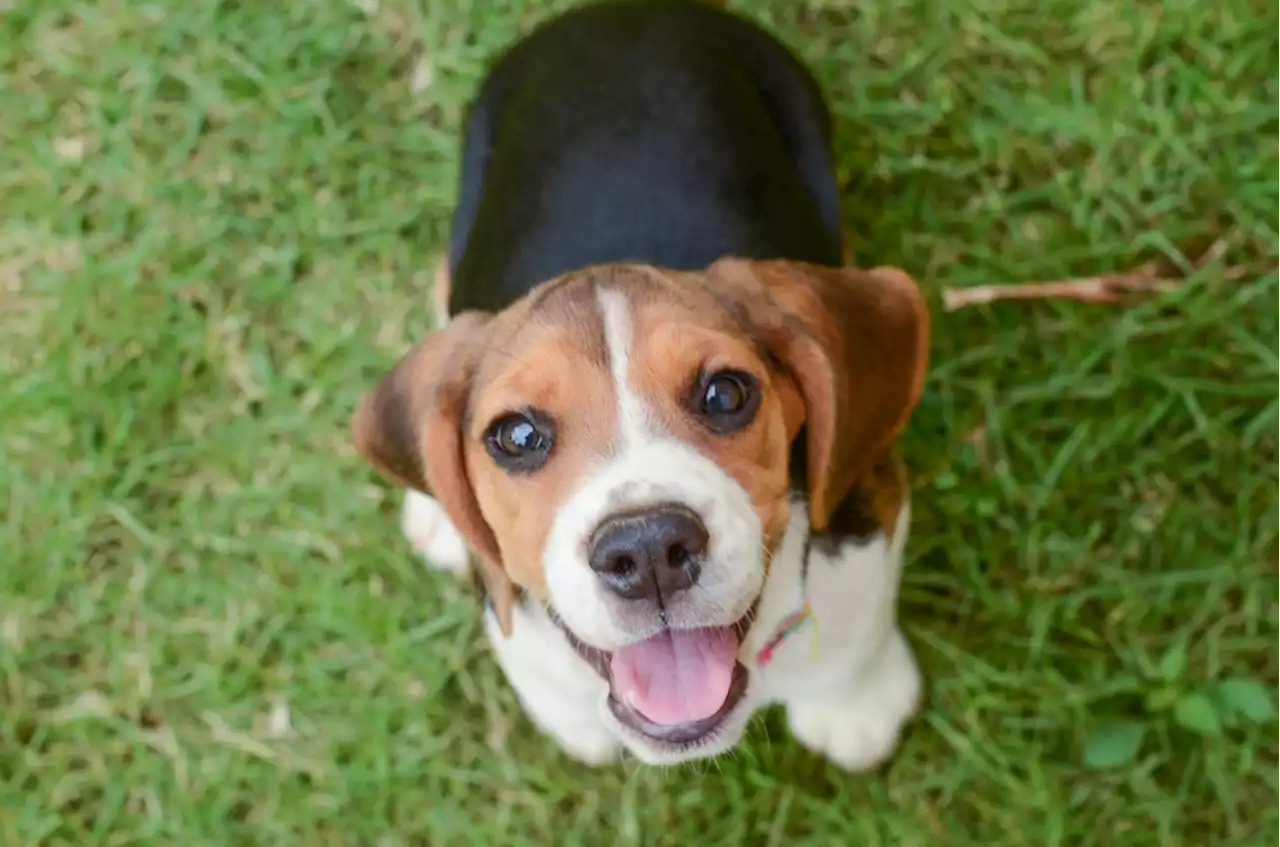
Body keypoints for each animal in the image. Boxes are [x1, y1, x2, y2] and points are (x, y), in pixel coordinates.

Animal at [350, 0, 931, 767]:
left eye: (726, 394)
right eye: (517, 435)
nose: (649, 549)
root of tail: (620, 12)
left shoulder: (868, 505)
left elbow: (857, 626)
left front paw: (855, 705)